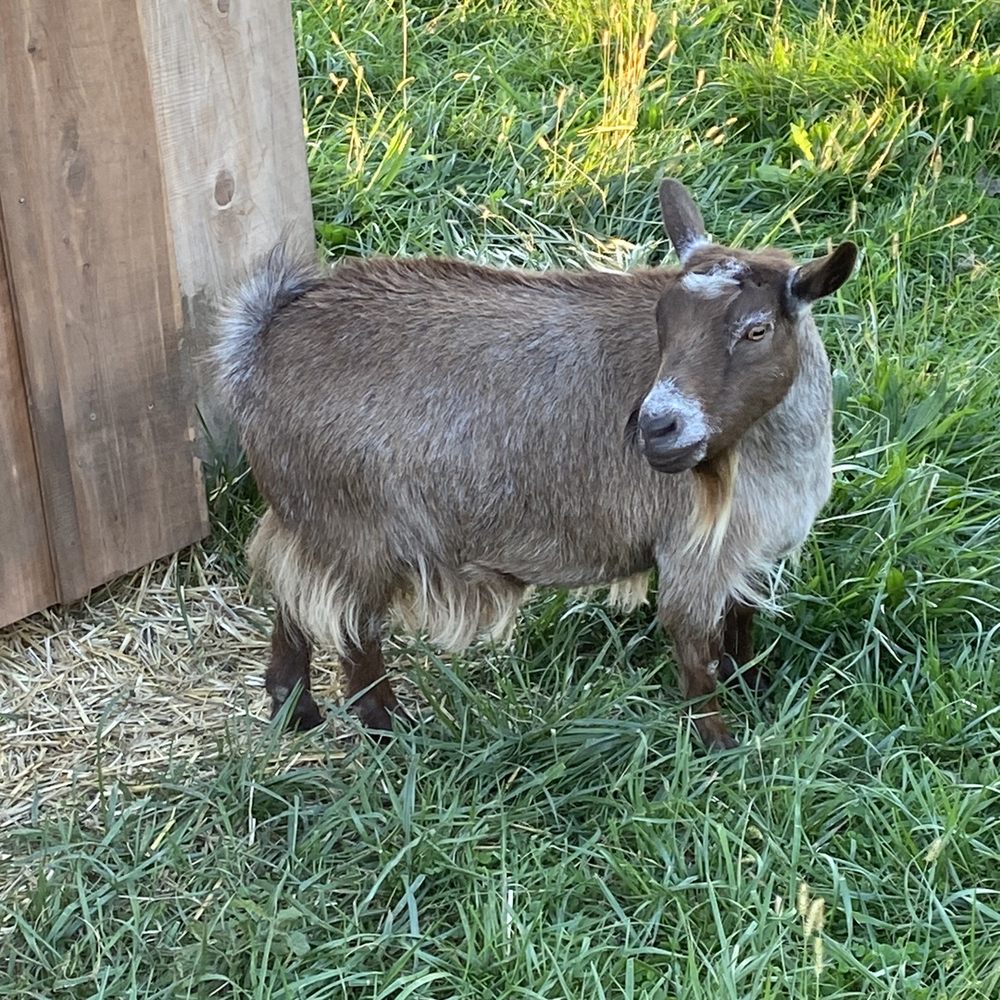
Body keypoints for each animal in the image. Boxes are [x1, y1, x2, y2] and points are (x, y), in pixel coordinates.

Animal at [215, 180, 856, 749]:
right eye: (663, 320)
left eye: (756, 330)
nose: (654, 427)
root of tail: (263, 336)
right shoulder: (693, 553)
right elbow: (695, 651)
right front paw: (719, 745)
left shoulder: (747, 554)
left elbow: (740, 624)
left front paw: (754, 689)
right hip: (358, 531)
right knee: (350, 629)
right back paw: (386, 728)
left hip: (309, 523)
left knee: (292, 597)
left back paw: (295, 709)